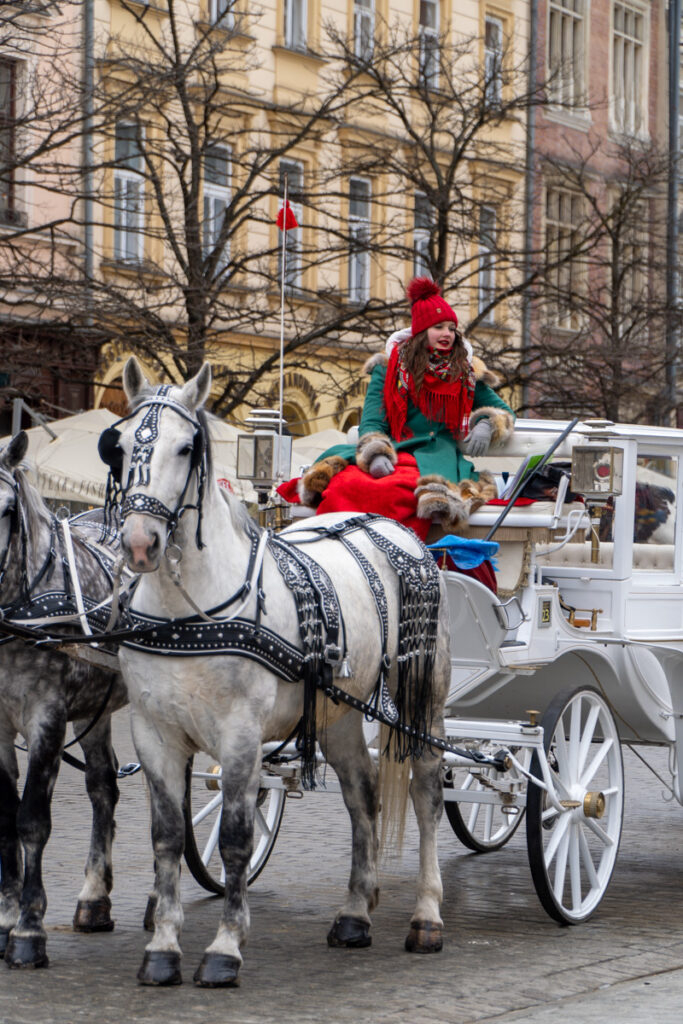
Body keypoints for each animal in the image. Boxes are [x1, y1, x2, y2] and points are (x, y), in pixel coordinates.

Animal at [104, 358, 450, 983]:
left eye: (188, 447)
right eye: (117, 447)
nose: (140, 543)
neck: (188, 609)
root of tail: (394, 529)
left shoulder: (241, 734)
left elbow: (237, 840)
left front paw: (224, 948)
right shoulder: (153, 731)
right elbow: (166, 838)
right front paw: (163, 947)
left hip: (424, 701)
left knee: (427, 792)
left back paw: (427, 916)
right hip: (339, 712)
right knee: (363, 793)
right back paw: (355, 912)